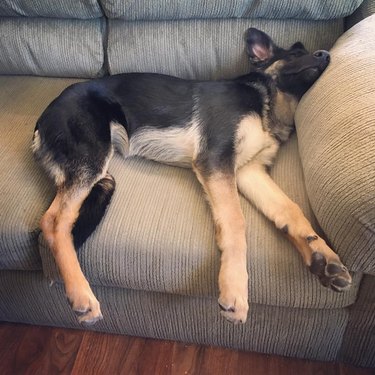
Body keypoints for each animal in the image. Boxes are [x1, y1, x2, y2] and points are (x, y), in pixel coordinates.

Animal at [31, 27, 352, 326]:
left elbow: (289, 210)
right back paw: (82, 295)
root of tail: (43, 118)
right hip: (92, 158)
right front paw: (235, 291)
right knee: (54, 222)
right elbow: (236, 222)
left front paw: (322, 256)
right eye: (296, 54)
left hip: (100, 176)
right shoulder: (216, 160)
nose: (326, 54)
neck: (266, 100)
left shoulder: (248, 172)